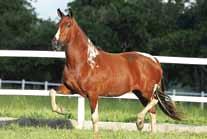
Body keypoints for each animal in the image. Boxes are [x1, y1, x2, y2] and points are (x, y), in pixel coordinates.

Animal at [49, 8, 181, 136]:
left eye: (68, 25)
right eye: (58, 24)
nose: (54, 43)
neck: (84, 62)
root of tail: (154, 60)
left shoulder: (93, 94)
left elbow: (94, 118)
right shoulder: (71, 89)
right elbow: (52, 92)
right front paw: (63, 110)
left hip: (146, 91)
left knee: (154, 101)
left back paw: (139, 122)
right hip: (140, 93)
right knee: (152, 111)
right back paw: (150, 132)